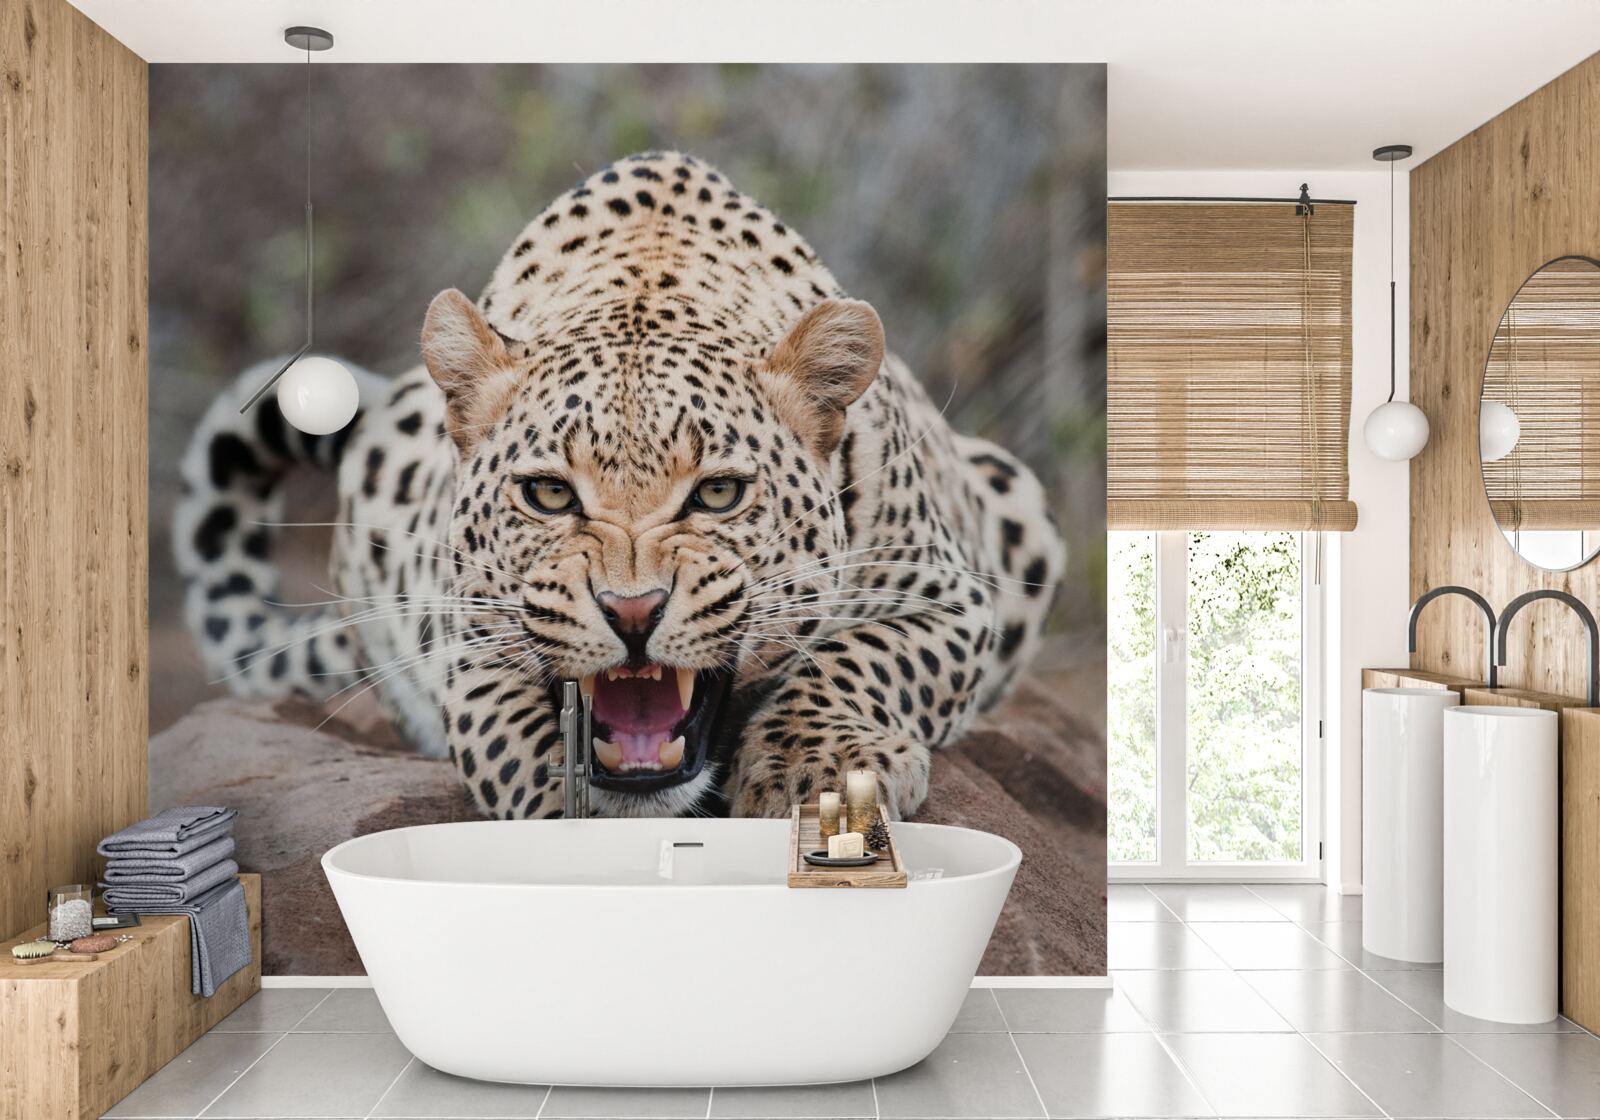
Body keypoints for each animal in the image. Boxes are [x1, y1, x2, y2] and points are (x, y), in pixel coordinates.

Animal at [173, 151, 1064, 822]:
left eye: (717, 495)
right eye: (549, 495)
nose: (633, 613)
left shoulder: (950, 595)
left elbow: (862, 657)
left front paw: (815, 768)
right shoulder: (467, 637)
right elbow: (515, 742)